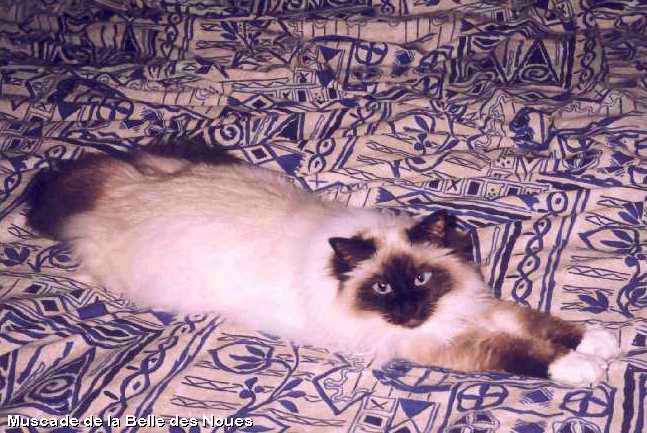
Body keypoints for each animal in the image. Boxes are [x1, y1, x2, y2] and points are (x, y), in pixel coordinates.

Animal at [26, 143, 621, 386]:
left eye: (420, 279)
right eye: (381, 290)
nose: (409, 311)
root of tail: (120, 190)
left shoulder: (470, 304)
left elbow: (541, 323)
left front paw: (599, 342)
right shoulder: (447, 343)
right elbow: (522, 352)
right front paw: (580, 369)